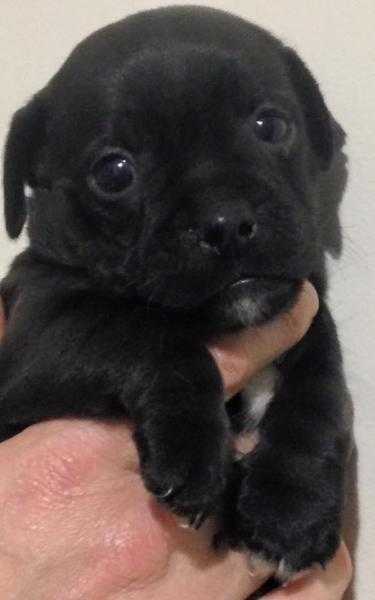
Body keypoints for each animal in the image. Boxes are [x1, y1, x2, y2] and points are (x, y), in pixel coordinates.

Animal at [0, 5, 352, 580]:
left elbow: (319, 392)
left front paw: (290, 509)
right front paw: (193, 451)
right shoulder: (41, 333)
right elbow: (146, 333)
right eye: (114, 172)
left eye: (271, 125)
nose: (225, 222)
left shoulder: (305, 313)